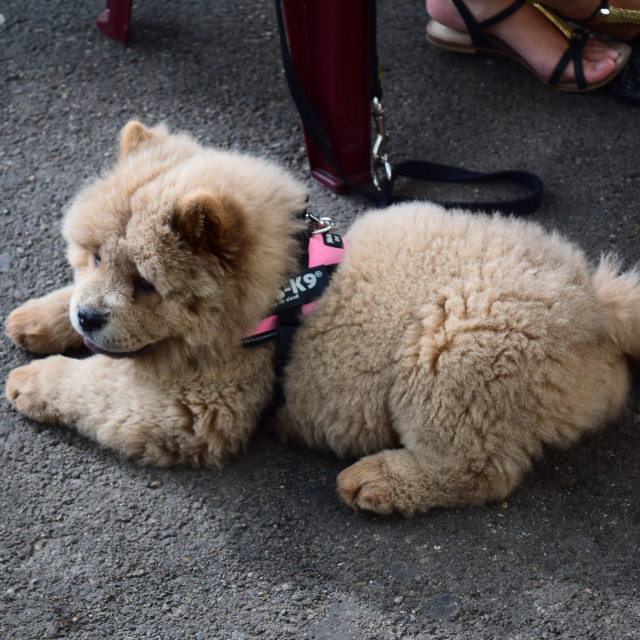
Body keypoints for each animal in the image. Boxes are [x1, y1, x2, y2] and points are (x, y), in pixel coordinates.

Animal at [5, 124, 640, 516]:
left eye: (145, 286)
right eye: (93, 257)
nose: (90, 317)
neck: (279, 287)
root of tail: (596, 304)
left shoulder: (200, 404)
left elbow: (95, 387)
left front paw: (30, 381)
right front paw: (36, 317)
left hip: (454, 350)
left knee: (480, 468)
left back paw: (376, 481)